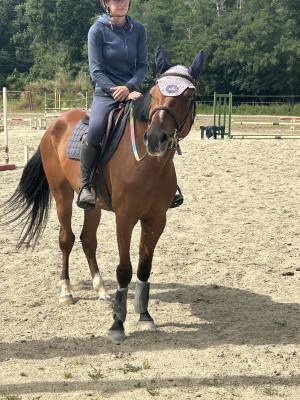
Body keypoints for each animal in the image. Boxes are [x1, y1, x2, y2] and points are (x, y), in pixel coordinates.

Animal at [1, 45, 204, 342]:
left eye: (189, 96)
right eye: (154, 94)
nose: (156, 139)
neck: (146, 164)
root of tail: (55, 124)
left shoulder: (156, 220)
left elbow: (144, 268)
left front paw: (145, 316)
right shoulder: (125, 218)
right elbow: (124, 270)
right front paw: (117, 325)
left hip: (93, 205)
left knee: (88, 240)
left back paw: (100, 290)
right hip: (62, 196)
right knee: (67, 239)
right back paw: (66, 292)